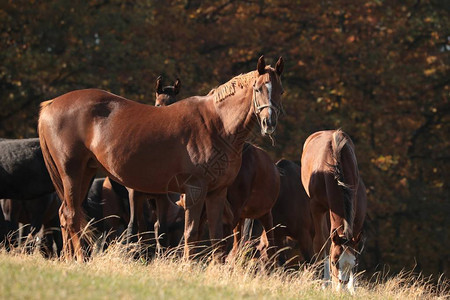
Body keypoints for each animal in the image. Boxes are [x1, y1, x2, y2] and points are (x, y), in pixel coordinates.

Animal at [39, 56, 284, 260]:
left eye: (280, 91)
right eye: (258, 88)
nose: (269, 123)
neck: (216, 124)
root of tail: (50, 105)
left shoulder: (216, 192)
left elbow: (216, 237)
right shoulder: (195, 190)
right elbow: (190, 233)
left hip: (86, 174)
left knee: (64, 216)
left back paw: (69, 260)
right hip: (71, 173)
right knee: (71, 216)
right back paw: (79, 260)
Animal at [300, 129, 368, 292]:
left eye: (354, 264)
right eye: (333, 262)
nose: (341, 289)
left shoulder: (356, 212)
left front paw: (353, 288)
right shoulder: (317, 207)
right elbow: (321, 243)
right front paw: (325, 284)